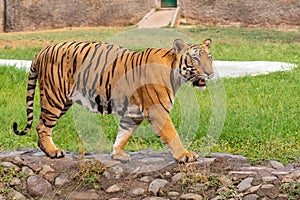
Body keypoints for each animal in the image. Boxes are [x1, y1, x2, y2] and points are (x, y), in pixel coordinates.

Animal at [12, 38, 213, 163]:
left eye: (209, 58)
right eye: (195, 58)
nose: (210, 73)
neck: (176, 74)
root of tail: (43, 50)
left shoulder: (133, 114)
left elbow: (123, 134)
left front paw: (117, 154)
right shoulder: (157, 111)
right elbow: (172, 134)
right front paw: (185, 155)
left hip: (63, 101)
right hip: (54, 97)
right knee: (42, 126)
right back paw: (53, 152)